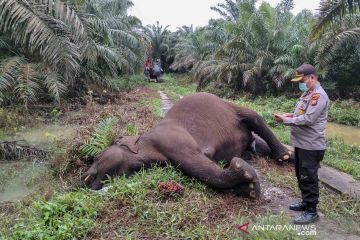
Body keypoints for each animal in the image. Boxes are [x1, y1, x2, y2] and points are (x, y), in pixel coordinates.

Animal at [83, 92, 292, 199]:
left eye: (97, 157)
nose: (84, 181)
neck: (144, 140)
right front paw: (246, 188)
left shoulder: (171, 140)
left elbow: (200, 165)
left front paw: (243, 172)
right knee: (258, 146)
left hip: (231, 107)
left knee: (253, 116)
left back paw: (284, 154)